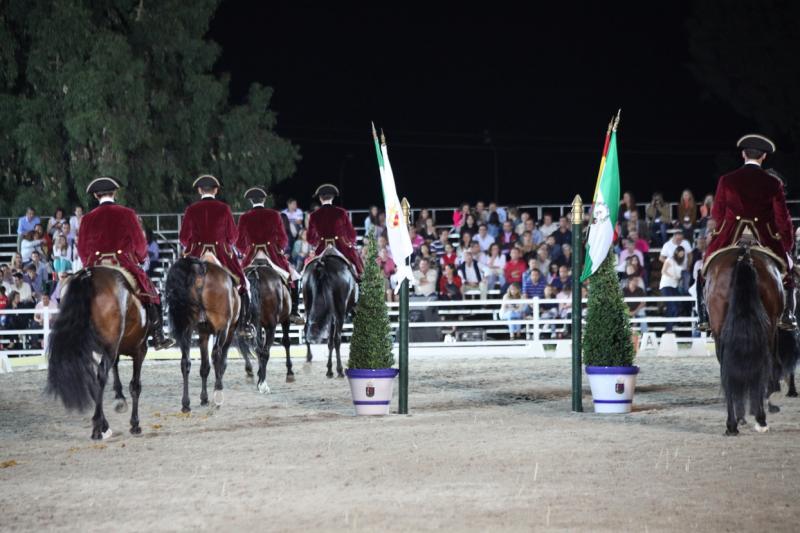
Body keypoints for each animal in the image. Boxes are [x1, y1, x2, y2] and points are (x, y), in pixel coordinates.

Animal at [47, 268, 152, 438]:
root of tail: (88, 275)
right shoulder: (140, 349)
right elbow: (135, 386)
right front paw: (135, 424)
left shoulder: (113, 349)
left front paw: (119, 399)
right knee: (101, 376)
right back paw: (98, 427)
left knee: (94, 380)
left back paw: (102, 425)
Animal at [166, 256, 239, 412]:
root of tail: (199, 269)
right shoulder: (229, 330)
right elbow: (221, 362)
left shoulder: (203, 333)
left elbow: (204, 366)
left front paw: (204, 398)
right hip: (223, 328)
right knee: (217, 355)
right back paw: (218, 396)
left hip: (187, 328)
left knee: (185, 362)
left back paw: (185, 404)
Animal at [238, 264, 294, 392]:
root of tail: (255, 272)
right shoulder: (285, 320)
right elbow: (286, 342)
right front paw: (290, 372)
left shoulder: (258, 326)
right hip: (271, 326)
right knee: (265, 351)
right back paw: (263, 383)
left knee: (258, 349)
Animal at [304, 250, 356, 378]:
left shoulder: (331, 317)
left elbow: (329, 341)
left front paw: (329, 368)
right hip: (340, 312)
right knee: (337, 339)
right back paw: (340, 370)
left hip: (308, 307)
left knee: (307, 330)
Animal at [704, 243, 796, 434]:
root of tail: (744, 253)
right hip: (767, 332)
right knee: (763, 368)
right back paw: (759, 418)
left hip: (720, 332)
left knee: (727, 371)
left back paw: (733, 423)